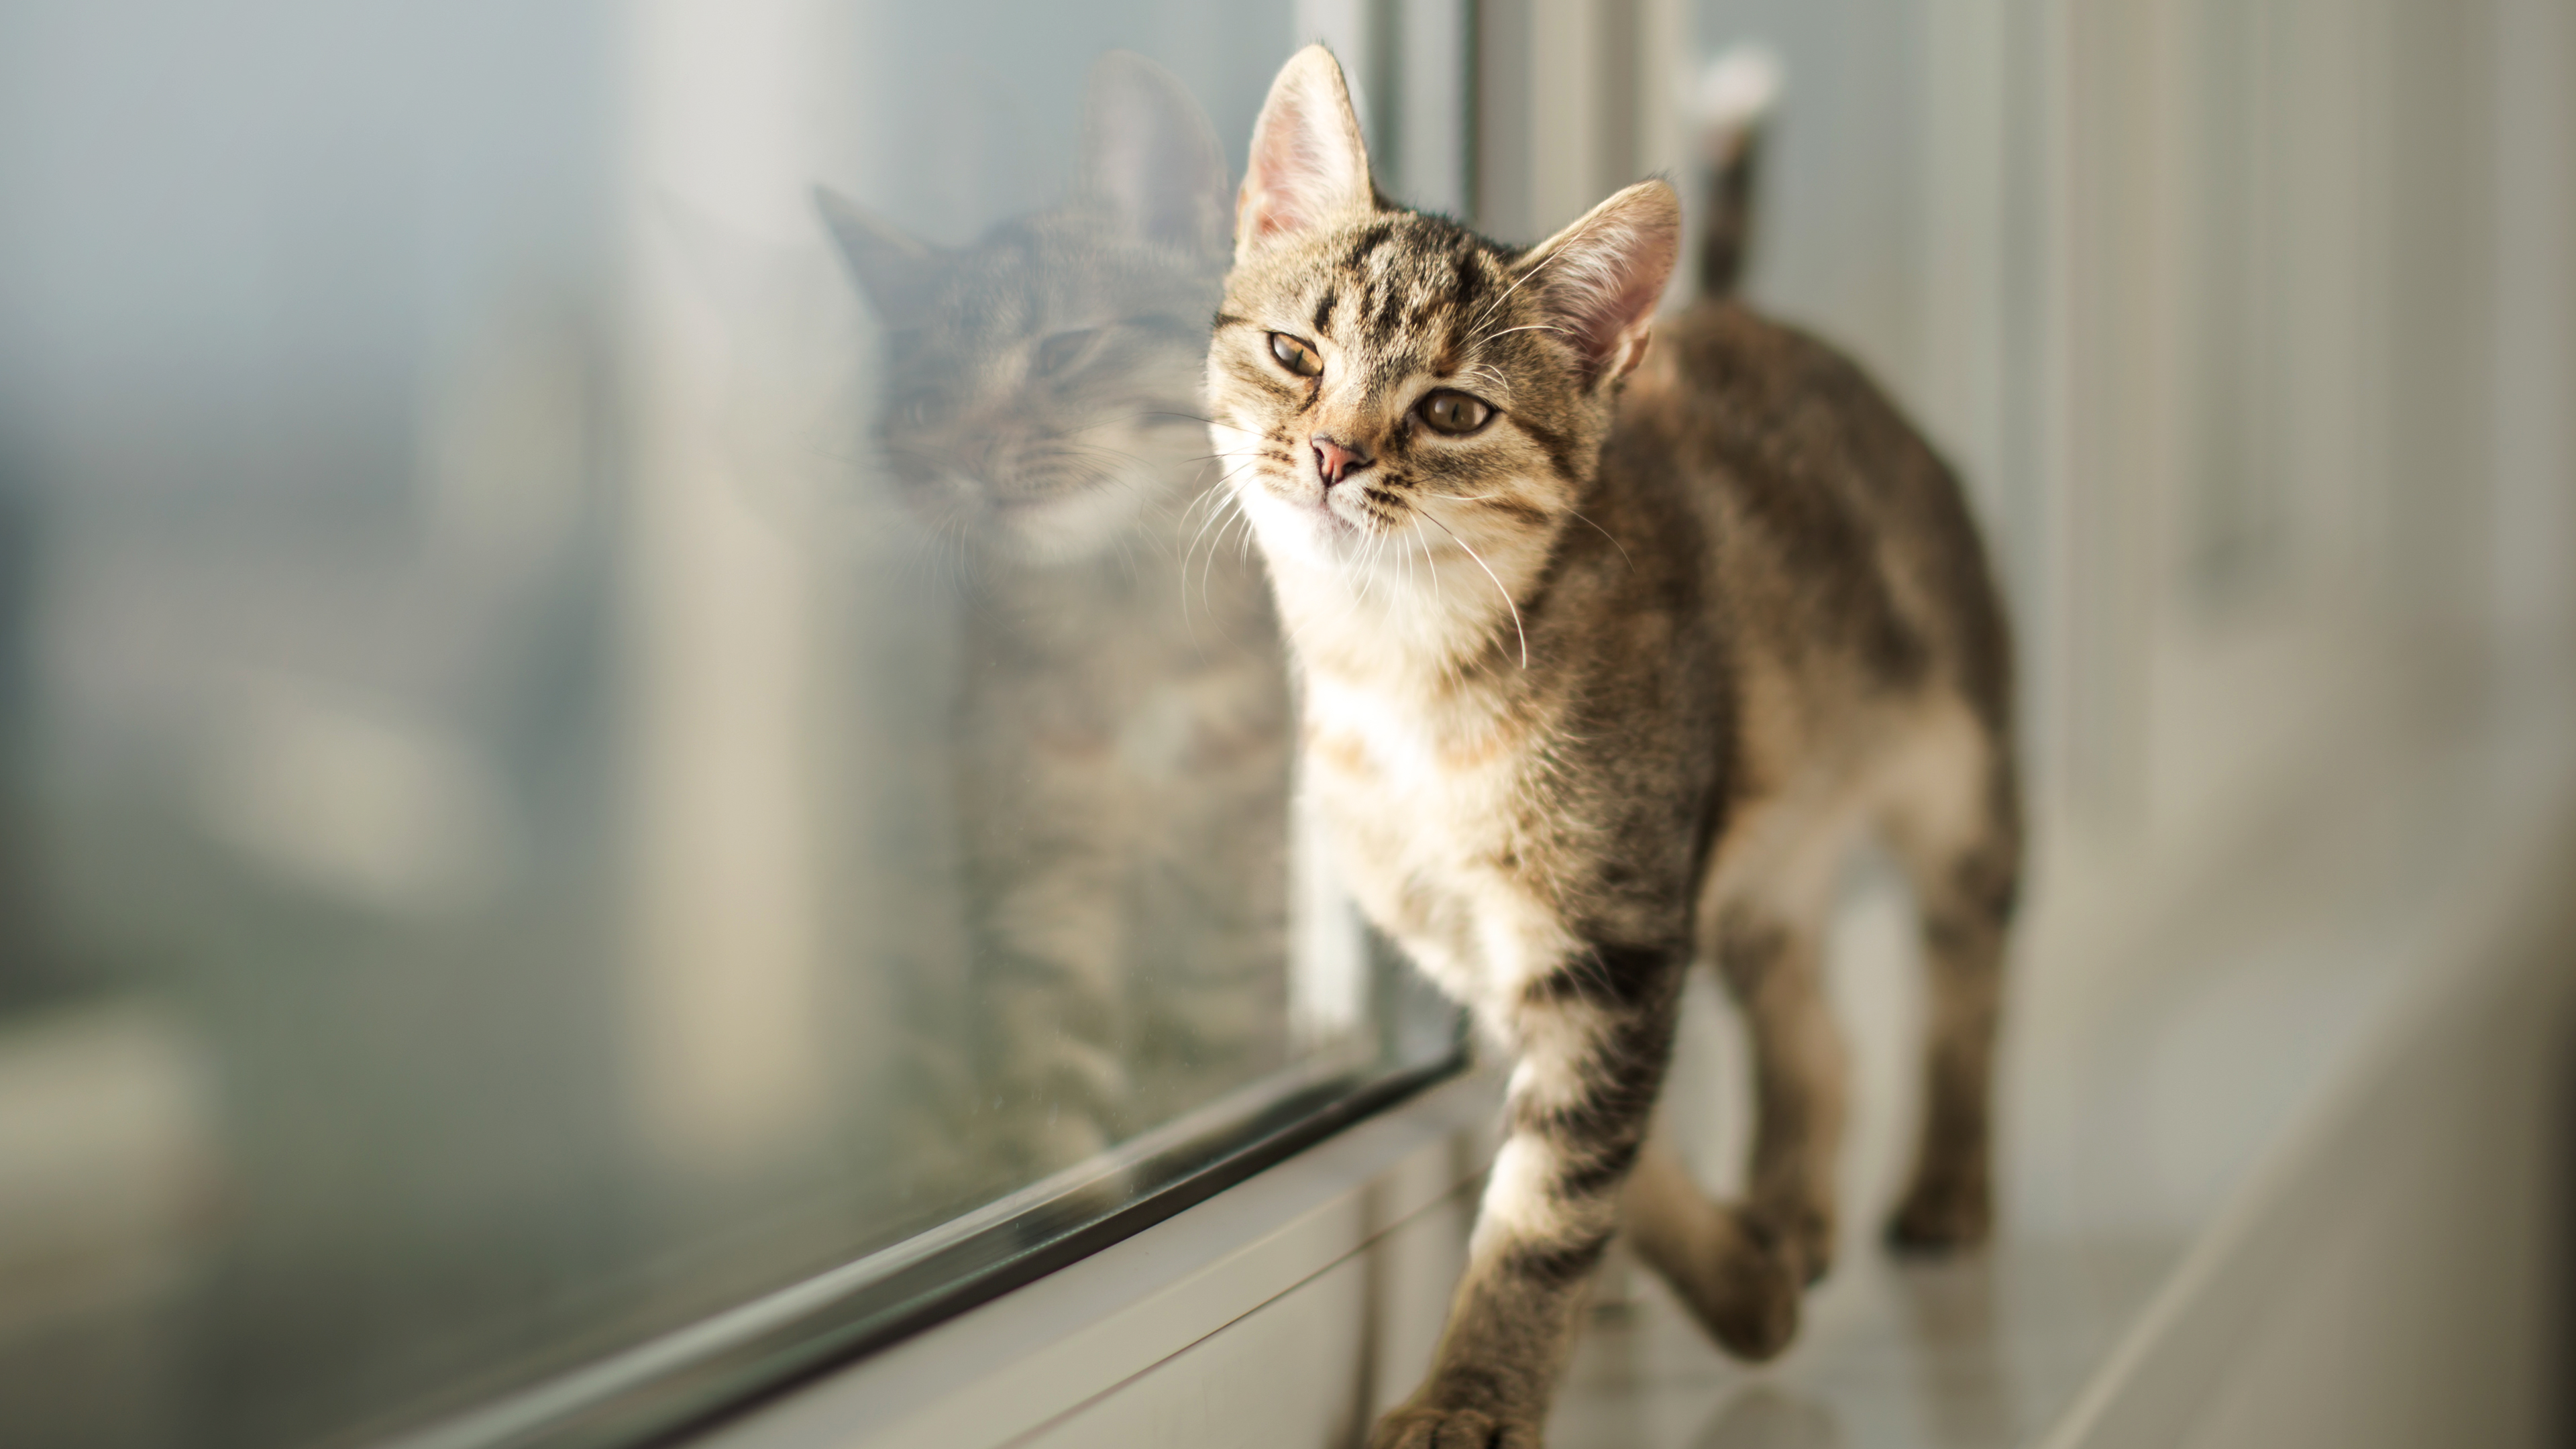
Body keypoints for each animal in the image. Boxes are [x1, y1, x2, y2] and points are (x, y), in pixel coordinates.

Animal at [824, 56, 1298, 1185]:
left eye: (1066, 350)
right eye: (924, 406)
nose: (966, 456)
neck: (1134, 634)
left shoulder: (1240, 875)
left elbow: (1213, 1066)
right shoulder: (1035, 879)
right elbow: (1052, 1094)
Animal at [1205, 48, 2009, 1444]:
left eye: (1453, 410)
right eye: (1294, 352)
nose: (1332, 451)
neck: (1403, 678)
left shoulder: (1615, 930)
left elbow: (1552, 1198)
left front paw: (1474, 1397)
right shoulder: (1483, 939)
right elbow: (1602, 1146)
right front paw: (1742, 1282)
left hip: (1959, 766)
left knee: (1964, 978)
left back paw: (1948, 1184)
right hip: (1761, 851)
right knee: (1817, 1032)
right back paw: (1792, 1212)